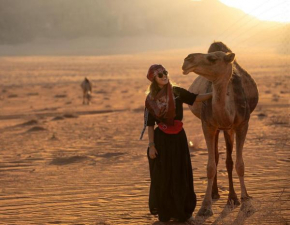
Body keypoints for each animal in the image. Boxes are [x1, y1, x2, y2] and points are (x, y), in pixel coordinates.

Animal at [182, 41, 260, 216]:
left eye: (212, 59)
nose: (187, 59)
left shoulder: (242, 124)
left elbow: (239, 164)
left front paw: (245, 200)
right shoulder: (208, 125)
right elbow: (210, 166)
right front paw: (205, 206)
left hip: (227, 129)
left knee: (228, 160)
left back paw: (232, 197)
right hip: (218, 128)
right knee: (217, 157)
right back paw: (215, 193)